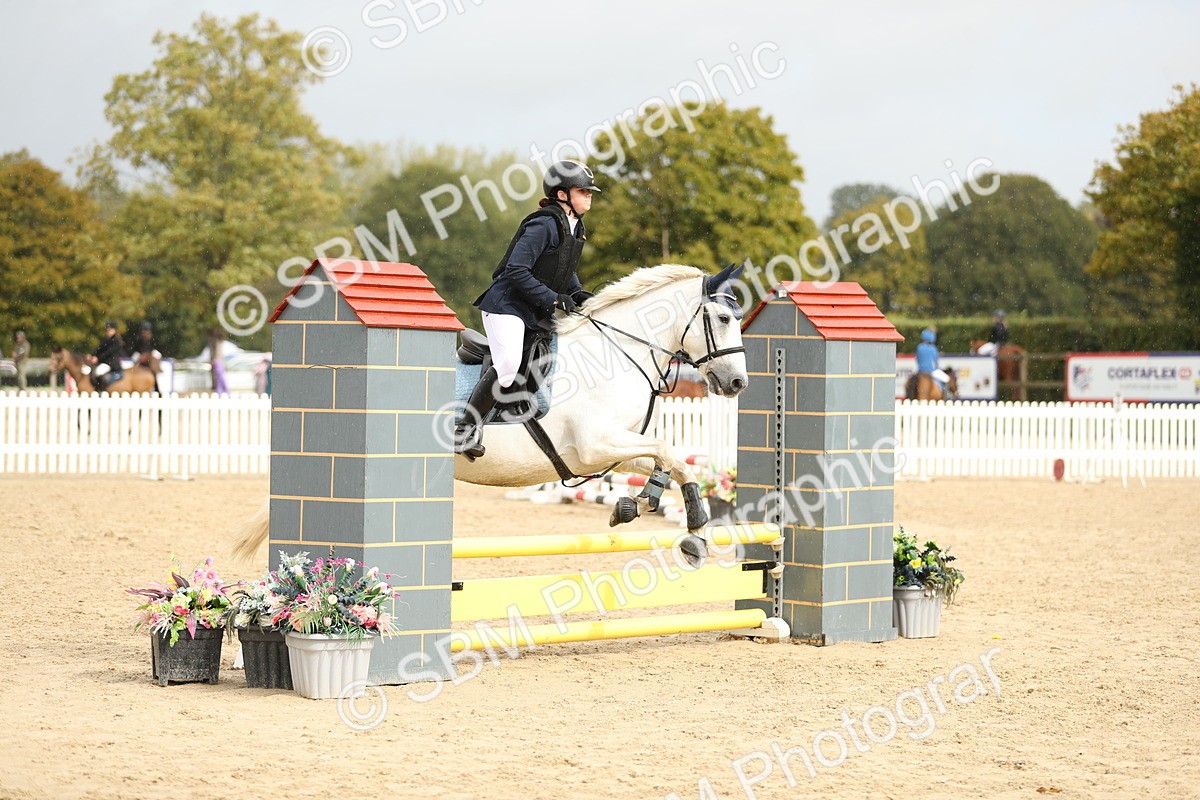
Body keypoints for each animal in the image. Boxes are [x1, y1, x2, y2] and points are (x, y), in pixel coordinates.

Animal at [234, 263, 750, 565]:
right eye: (724, 319)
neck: (617, 352)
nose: (736, 384)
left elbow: (670, 459)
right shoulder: (594, 444)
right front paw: (670, 520)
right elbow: (667, 449)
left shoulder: (609, 449)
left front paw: (665, 516)